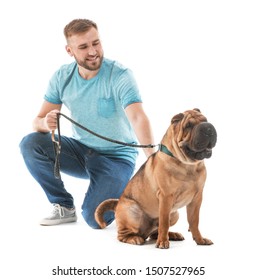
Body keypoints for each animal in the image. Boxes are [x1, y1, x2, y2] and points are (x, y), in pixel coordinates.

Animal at [95, 108, 217, 248]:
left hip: (174, 214)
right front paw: (163, 242)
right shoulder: (165, 196)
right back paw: (135, 238)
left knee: (154, 232)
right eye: (188, 126)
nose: (208, 128)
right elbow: (164, 222)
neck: (188, 165)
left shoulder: (197, 198)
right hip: (133, 211)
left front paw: (200, 240)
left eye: (205, 120)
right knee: (123, 234)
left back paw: (173, 235)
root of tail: (117, 204)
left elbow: (194, 221)